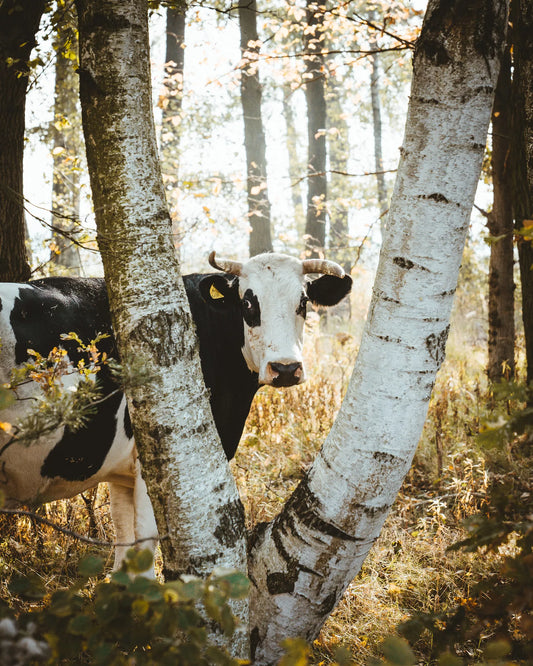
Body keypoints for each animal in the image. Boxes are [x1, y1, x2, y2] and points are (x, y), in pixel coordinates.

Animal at [0, 252, 352, 568]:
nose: (286, 368)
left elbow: (123, 545)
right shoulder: (153, 462)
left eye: (303, 302)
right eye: (248, 304)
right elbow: (143, 547)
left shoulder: (121, 475)